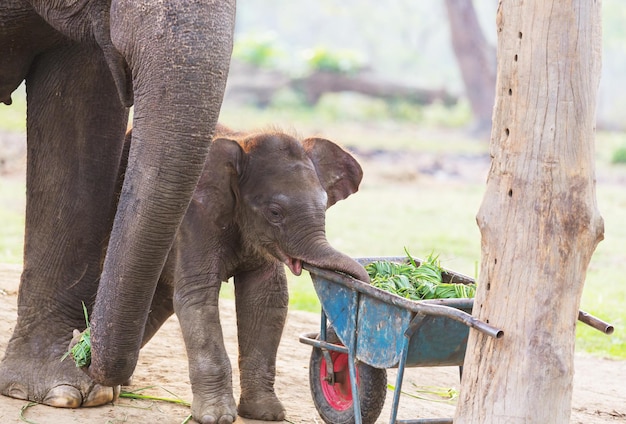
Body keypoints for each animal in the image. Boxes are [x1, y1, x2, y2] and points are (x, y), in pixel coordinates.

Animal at [119, 125, 368, 424]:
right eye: (275, 213)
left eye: (325, 207)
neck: (243, 142)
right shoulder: (195, 219)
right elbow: (198, 296)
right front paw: (216, 417)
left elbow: (266, 300)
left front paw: (266, 413)